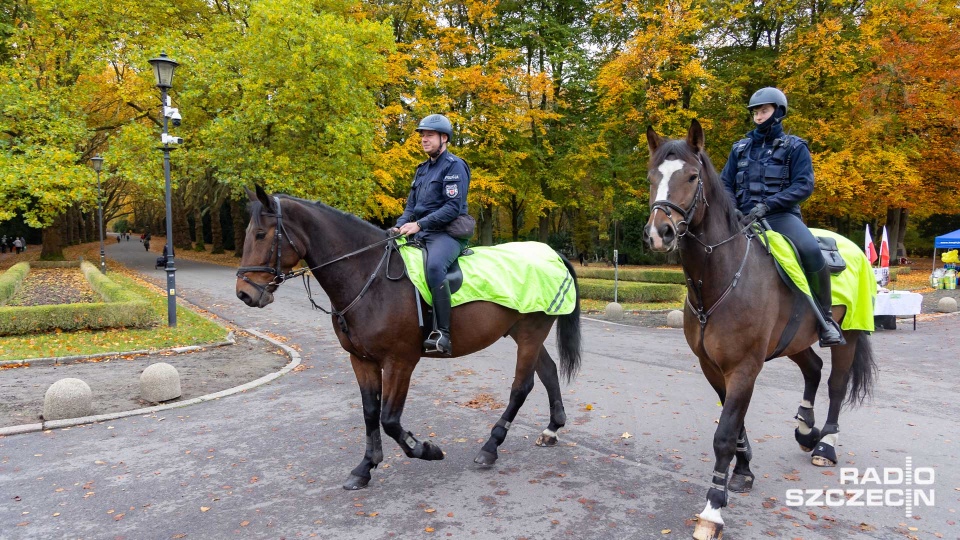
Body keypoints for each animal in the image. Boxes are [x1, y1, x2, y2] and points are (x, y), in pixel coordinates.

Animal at [236, 186, 580, 490]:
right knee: (548, 372)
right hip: (523, 332)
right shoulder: (361, 360)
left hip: (531, 333)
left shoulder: (400, 361)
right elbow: (370, 413)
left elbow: (389, 418)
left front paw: (425, 449)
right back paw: (551, 430)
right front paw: (365, 467)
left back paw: (490, 448)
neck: (370, 279)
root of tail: (551, 254)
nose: (244, 293)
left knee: (521, 387)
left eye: (261, 234)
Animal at [640, 121, 872, 540]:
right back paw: (805, 429)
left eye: (692, 176)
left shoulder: (744, 368)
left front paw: (712, 510)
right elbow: (737, 428)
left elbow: (724, 434)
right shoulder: (713, 368)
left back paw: (825, 445)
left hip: (849, 335)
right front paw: (744, 472)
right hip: (796, 341)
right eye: (652, 177)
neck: (721, 278)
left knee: (835, 384)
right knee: (813, 370)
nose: (658, 232)